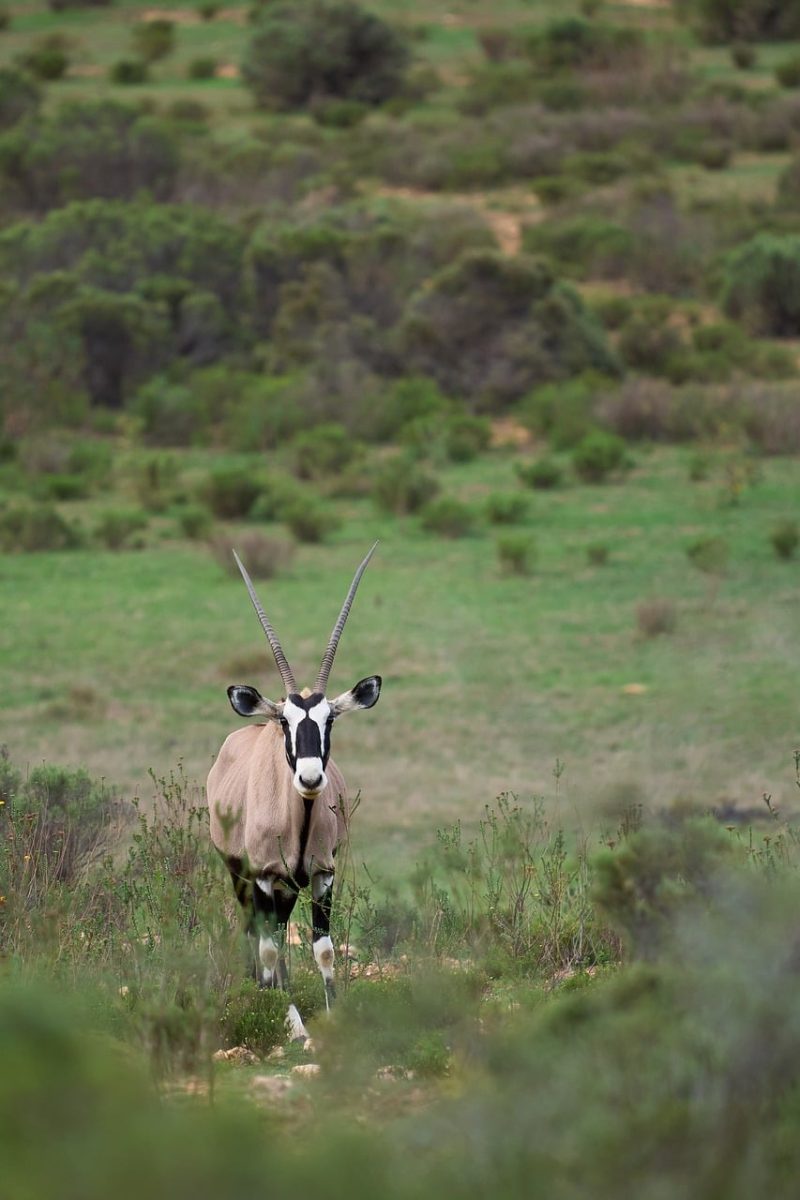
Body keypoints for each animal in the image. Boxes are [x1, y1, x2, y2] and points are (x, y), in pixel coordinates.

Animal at [207, 544, 381, 1033]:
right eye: (286, 721)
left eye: (331, 719)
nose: (309, 779)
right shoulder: (265, 876)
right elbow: (268, 947)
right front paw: (290, 1021)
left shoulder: (322, 875)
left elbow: (323, 950)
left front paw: (328, 1016)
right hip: (243, 875)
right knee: (257, 932)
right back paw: (262, 990)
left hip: (287, 888)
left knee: (279, 932)